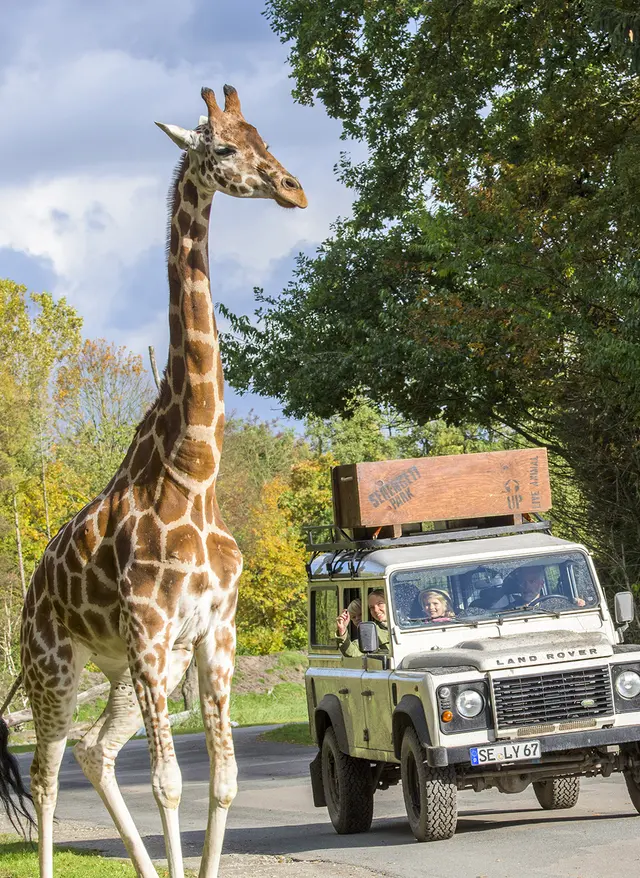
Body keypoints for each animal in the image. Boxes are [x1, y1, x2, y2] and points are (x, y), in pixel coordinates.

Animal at [0, 84, 307, 878]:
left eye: (265, 136)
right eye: (224, 147)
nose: (293, 188)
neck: (194, 471)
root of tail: (30, 599)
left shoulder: (213, 632)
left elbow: (223, 781)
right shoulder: (148, 627)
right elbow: (170, 782)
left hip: (133, 674)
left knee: (94, 750)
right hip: (55, 666)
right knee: (45, 771)